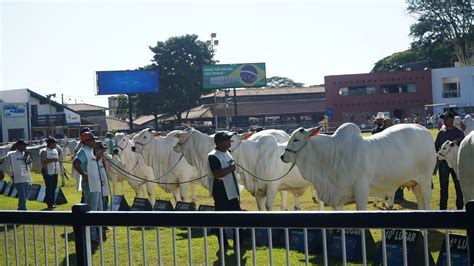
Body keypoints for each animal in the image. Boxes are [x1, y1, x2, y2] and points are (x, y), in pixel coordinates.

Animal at [280, 123, 436, 210]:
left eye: (295, 139)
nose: (282, 156)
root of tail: (424, 129)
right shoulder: (337, 198)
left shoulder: (361, 192)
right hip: (414, 184)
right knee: (421, 204)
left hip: (425, 181)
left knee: (426, 202)